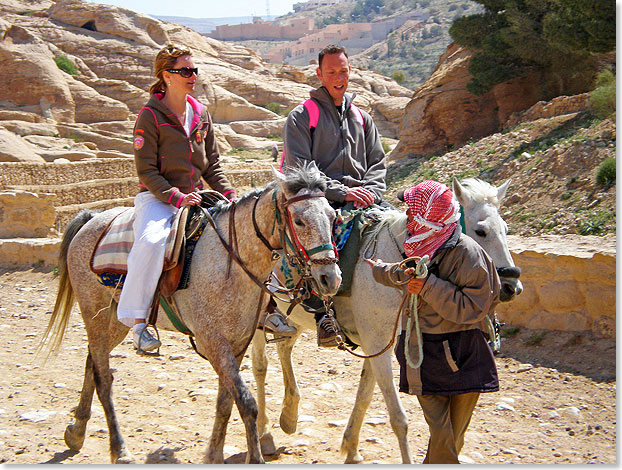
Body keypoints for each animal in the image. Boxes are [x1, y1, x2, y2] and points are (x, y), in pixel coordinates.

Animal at [40, 163, 342, 464]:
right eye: (299, 221)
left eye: (332, 217)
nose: (330, 278)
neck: (229, 261)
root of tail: (91, 218)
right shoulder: (213, 342)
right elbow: (246, 402)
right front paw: (253, 457)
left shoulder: (237, 343)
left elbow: (225, 401)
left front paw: (214, 454)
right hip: (96, 315)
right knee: (104, 379)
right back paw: (120, 450)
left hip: (113, 322)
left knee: (92, 363)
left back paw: (76, 431)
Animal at [251, 176, 524, 462]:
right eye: (481, 231)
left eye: (505, 229)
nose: (510, 286)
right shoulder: (376, 343)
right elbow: (398, 417)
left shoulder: (379, 345)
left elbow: (365, 396)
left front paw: (351, 449)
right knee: (260, 367)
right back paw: (265, 436)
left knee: (284, 347)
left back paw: (289, 416)